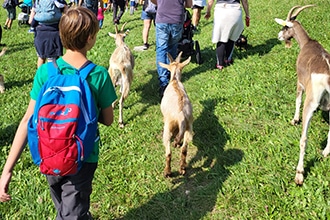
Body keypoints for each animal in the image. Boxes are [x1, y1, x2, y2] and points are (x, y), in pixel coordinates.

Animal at [274, 4, 330, 185]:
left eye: (285, 27)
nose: (279, 36)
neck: (307, 43)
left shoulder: (300, 82)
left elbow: (297, 100)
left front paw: (294, 119)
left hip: (310, 104)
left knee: (303, 139)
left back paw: (299, 174)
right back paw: (325, 152)